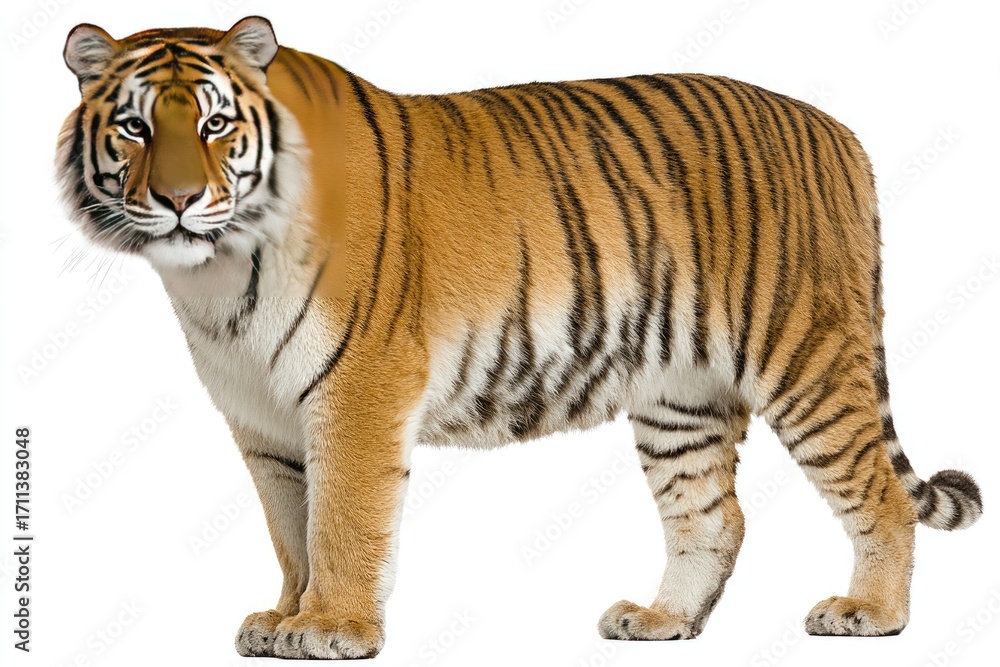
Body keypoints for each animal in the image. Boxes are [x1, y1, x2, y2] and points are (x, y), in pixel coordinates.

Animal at [57, 15, 983, 660]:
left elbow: (342, 520)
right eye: (136, 128)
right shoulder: (262, 419)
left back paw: (872, 614)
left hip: (806, 357)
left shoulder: (357, 390)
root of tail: (840, 133)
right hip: (681, 398)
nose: (179, 200)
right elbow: (292, 527)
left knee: (881, 493)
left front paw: (330, 627)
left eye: (215, 126)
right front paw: (285, 614)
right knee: (714, 516)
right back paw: (663, 619)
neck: (215, 275)